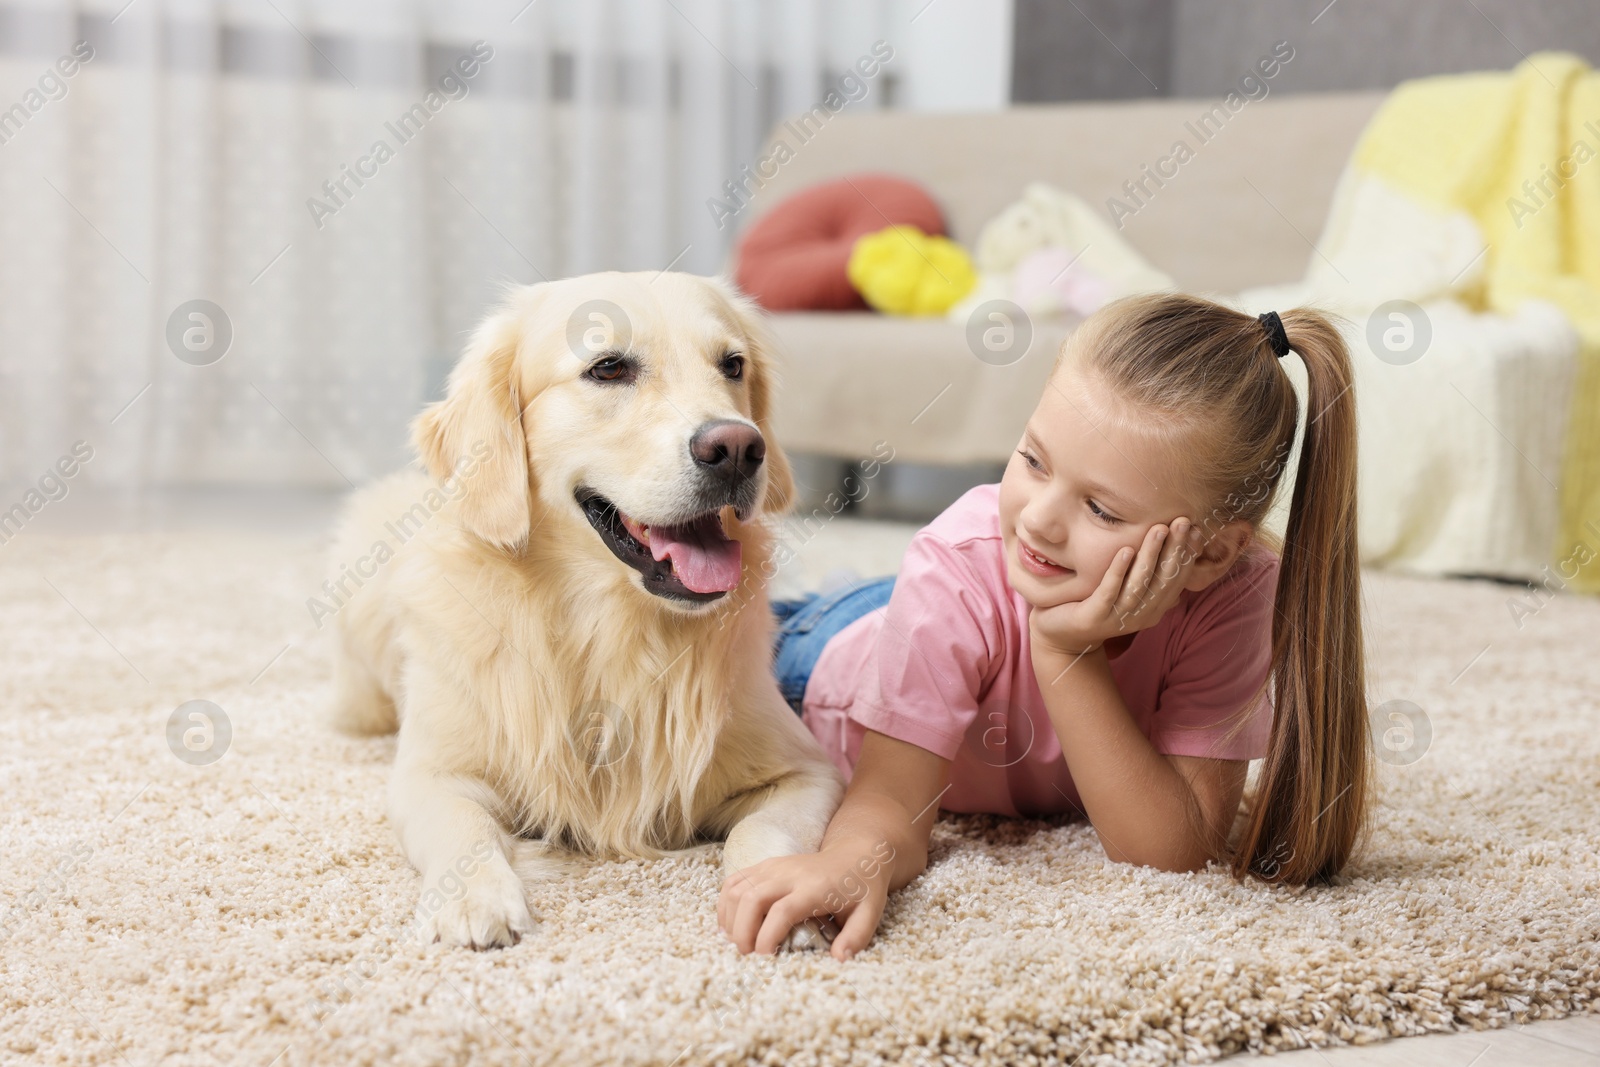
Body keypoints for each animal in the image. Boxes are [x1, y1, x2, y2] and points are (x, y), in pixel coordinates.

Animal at [326, 271, 851, 947]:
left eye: (732, 365)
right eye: (608, 368)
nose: (738, 447)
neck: (611, 627)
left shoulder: (809, 770)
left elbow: (763, 829)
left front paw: (781, 893)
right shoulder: (430, 773)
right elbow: (464, 826)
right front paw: (475, 898)